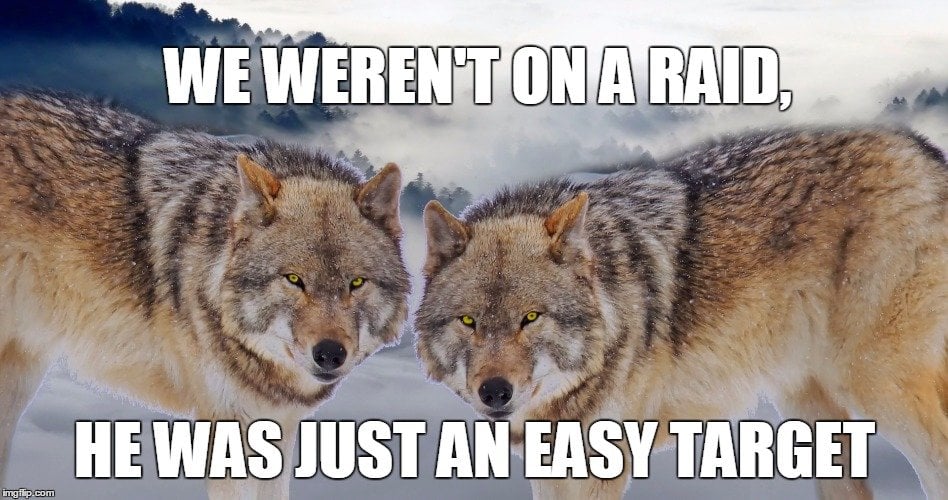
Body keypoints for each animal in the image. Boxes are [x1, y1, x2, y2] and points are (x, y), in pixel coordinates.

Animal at [416, 128, 948, 499]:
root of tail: (924, 150)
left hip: (877, 386)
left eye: (531, 318)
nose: (495, 392)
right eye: (469, 321)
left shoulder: (599, 465)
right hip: (808, 409)